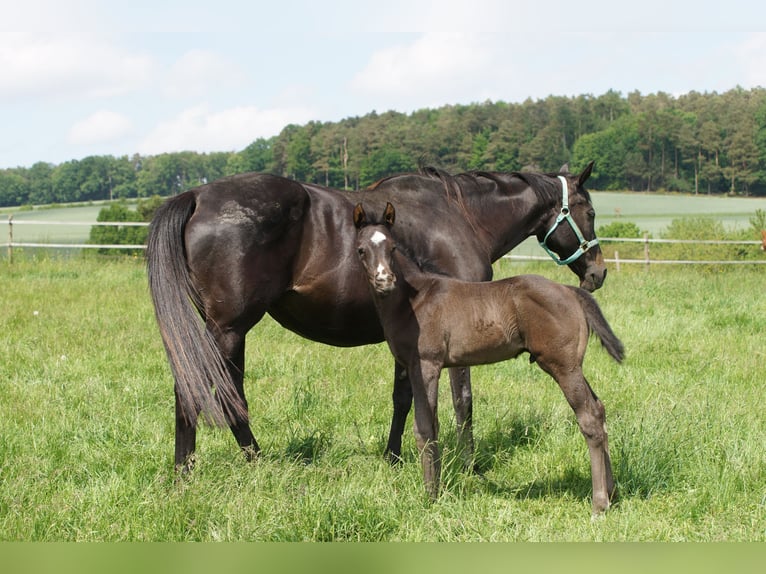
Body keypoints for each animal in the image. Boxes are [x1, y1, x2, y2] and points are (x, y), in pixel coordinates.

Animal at [146, 162, 605, 471]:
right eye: (591, 211)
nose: (597, 272)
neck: (460, 216)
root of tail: (197, 196)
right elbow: (463, 401)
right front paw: (468, 464)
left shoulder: (411, 335)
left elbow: (404, 397)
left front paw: (393, 457)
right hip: (228, 328)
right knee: (197, 390)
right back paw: (190, 472)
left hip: (229, 331)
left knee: (227, 393)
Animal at [352, 202, 623, 515]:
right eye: (361, 249)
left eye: (393, 247)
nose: (384, 281)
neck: (413, 298)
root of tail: (570, 291)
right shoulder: (413, 366)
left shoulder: (427, 364)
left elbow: (425, 429)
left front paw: (431, 496)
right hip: (573, 366)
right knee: (599, 409)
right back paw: (612, 492)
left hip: (563, 366)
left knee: (589, 418)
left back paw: (599, 503)